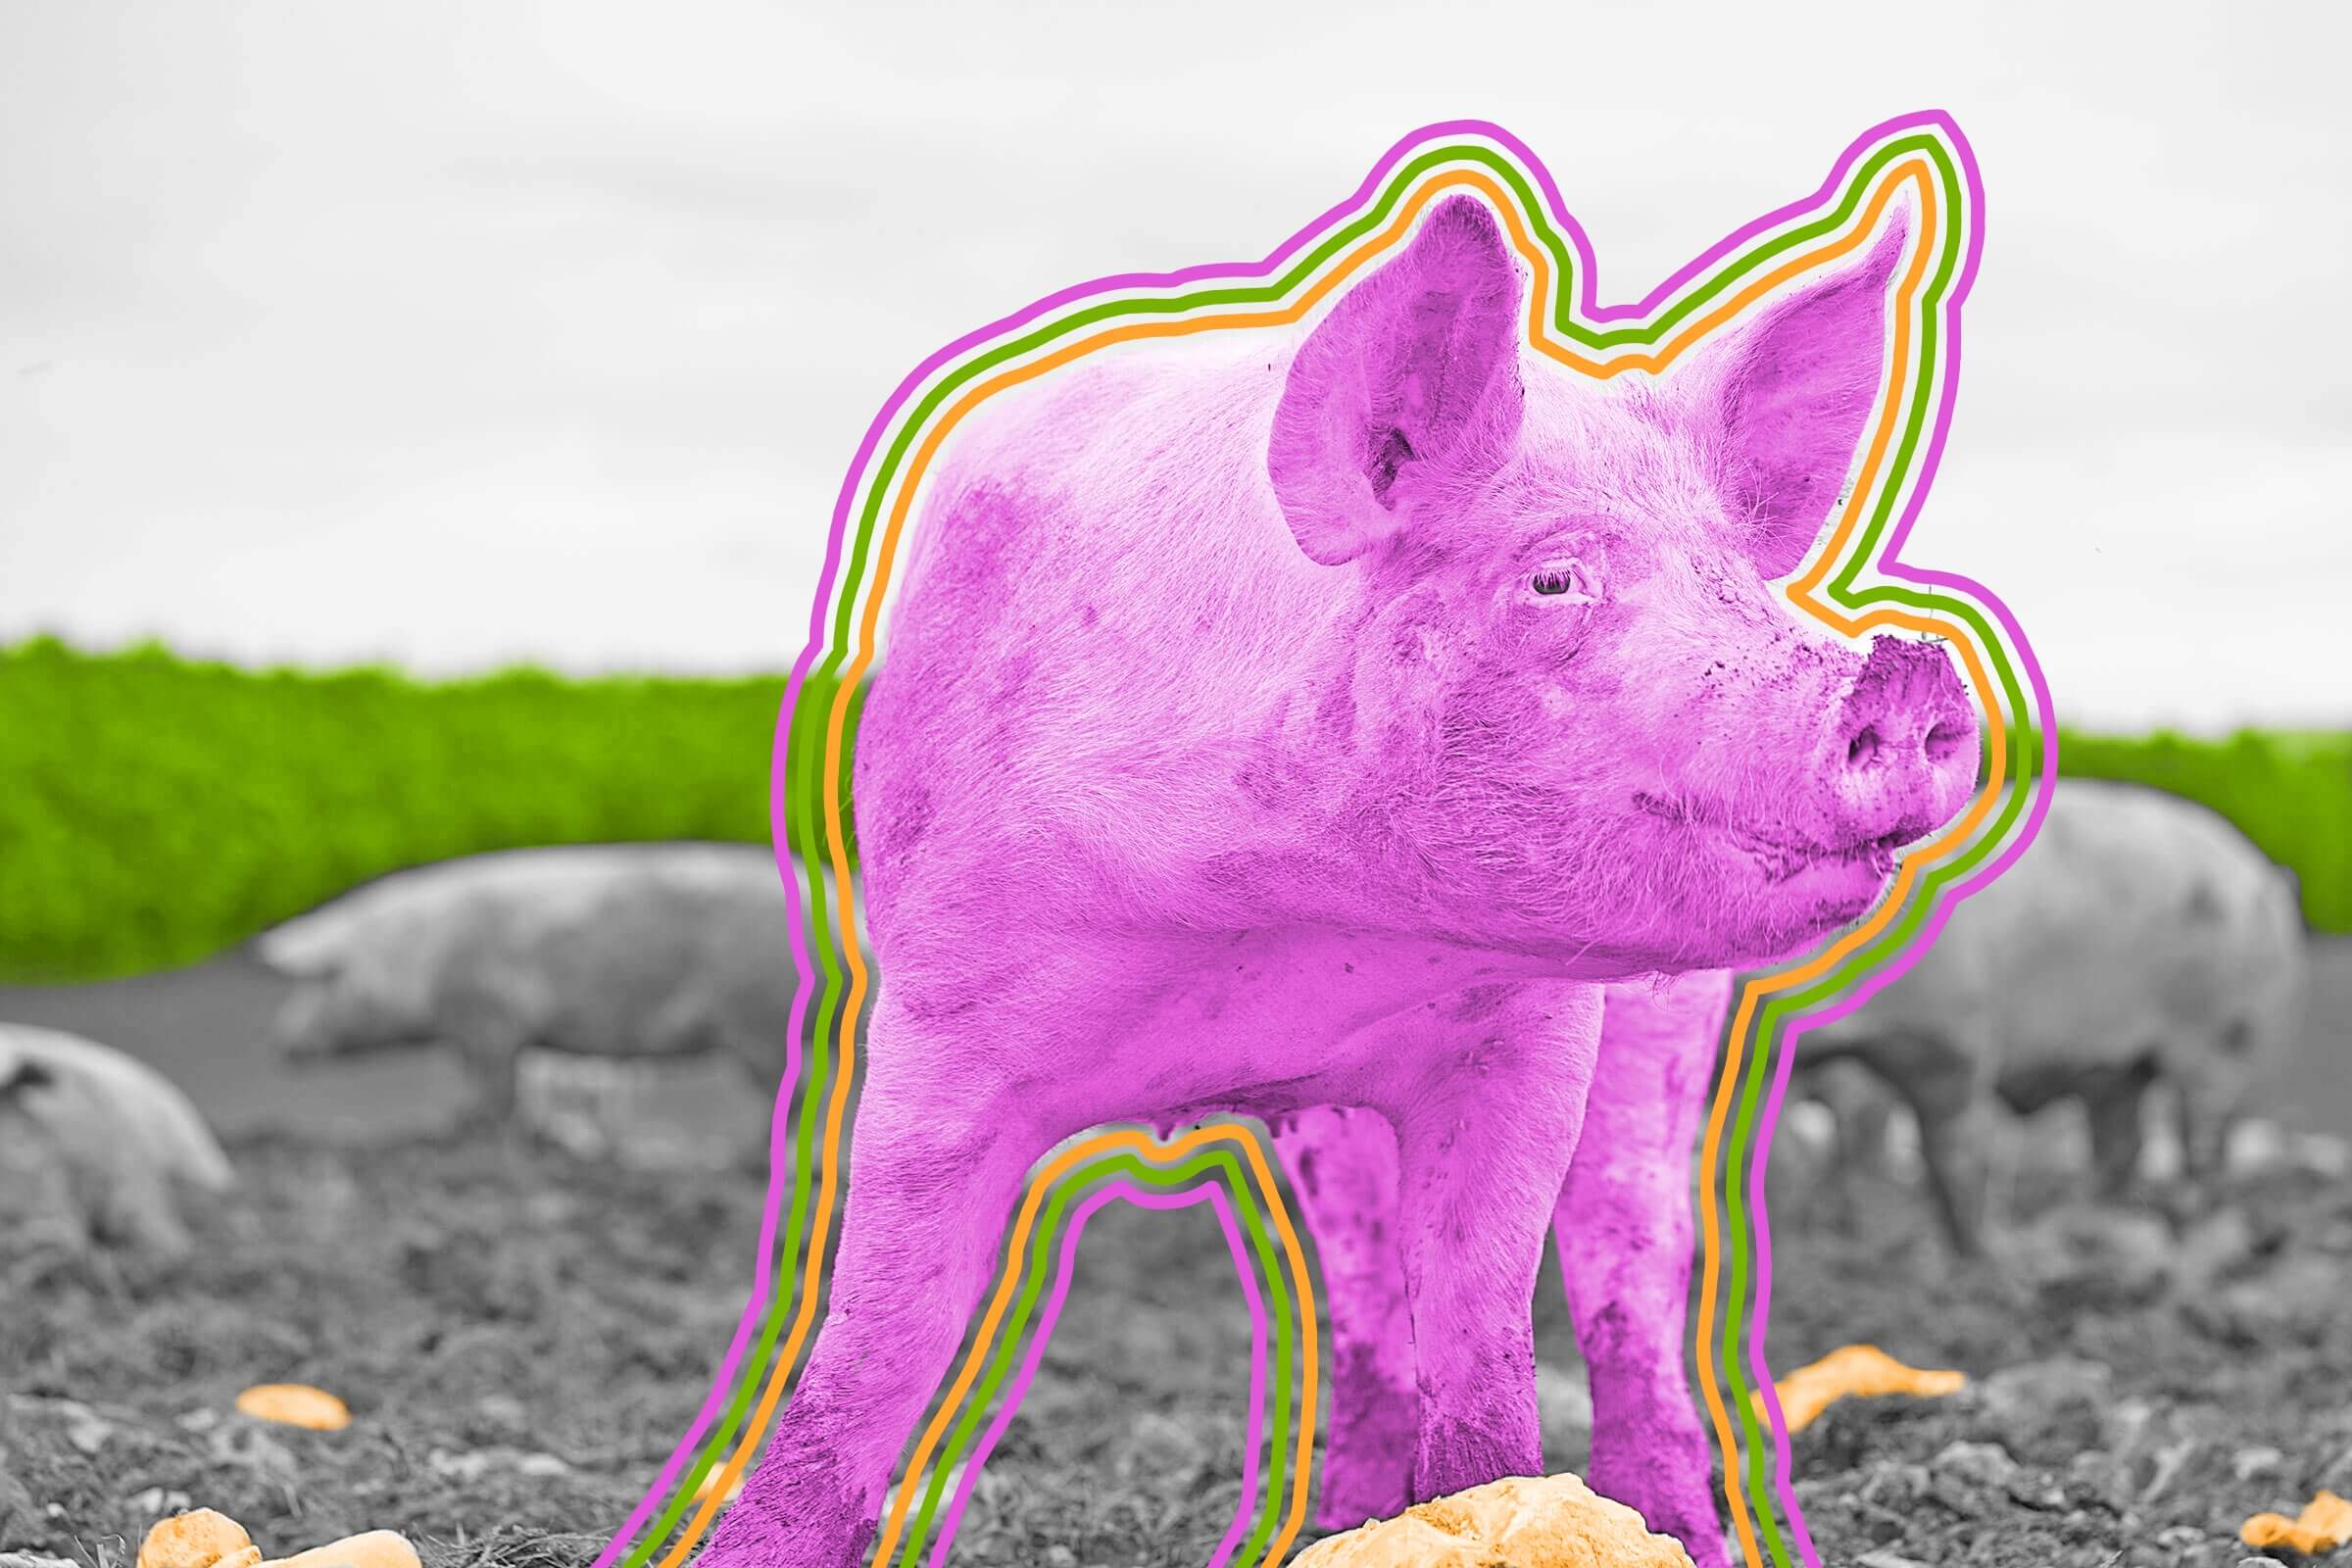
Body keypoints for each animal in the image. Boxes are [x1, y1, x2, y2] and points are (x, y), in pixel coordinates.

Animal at [262, 843, 817, 1139]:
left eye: (326, 980)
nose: (283, 1043)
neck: (418, 955)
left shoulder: (489, 1015)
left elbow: (495, 1083)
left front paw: (456, 1128)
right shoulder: (478, 1028)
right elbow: (486, 1081)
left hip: (761, 1021)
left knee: (796, 1090)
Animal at [699, 192, 1980, 1568]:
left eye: (1739, 581)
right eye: (1553, 577)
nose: (1909, 670)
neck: (1280, 930)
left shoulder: (1531, 1035)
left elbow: (1482, 1316)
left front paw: (1491, 1504)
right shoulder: (940, 1004)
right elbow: (877, 1340)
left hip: (1669, 1028)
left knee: (1631, 1259)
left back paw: (1680, 1525)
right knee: (1359, 1285)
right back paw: (1331, 1519)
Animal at [1793, 777, 2310, 1256]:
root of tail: (2267, 878)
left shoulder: (1955, 1040)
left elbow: (1953, 1153)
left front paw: (1978, 1260)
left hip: (2221, 1033)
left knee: (2203, 1136)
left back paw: (2190, 1236)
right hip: (2123, 1064)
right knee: (2123, 1141)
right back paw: (2084, 1228)